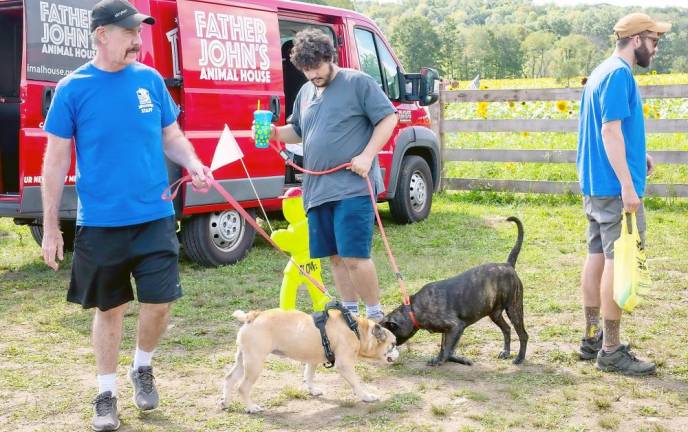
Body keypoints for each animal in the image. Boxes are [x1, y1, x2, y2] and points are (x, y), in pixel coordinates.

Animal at [223, 308, 400, 412]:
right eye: (393, 344)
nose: (398, 351)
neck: (356, 330)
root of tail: (253, 316)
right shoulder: (345, 365)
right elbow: (356, 382)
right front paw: (366, 396)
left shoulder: (312, 360)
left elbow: (308, 376)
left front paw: (312, 390)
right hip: (255, 363)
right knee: (243, 387)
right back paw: (251, 407)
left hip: (243, 360)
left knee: (229, 378)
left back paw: (225, 402)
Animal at [382, 218, 528, 366]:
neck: (412, 310)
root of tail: (508, 265)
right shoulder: (446, 330)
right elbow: (444, 346)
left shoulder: (456, 326)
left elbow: (447, 348)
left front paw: (441, 360)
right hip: (495, 314)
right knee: (507, 329)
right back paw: (506, 352)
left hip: (514, 310)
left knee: (523, 335)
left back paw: (519, 358)